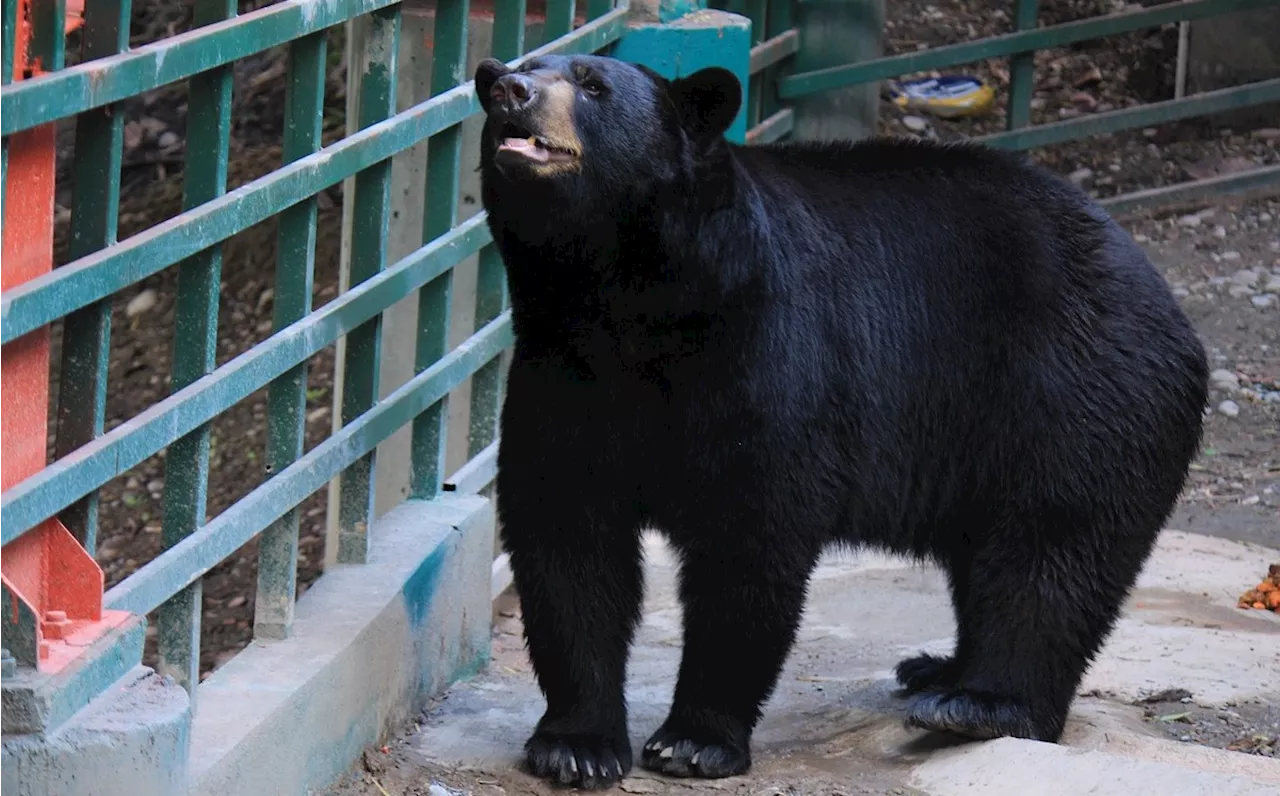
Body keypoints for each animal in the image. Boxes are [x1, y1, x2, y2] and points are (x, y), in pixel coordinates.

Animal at [473, 54, 1208, 793]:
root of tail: (1166, 301)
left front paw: (695, 739)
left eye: (592, 84)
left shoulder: (769, 347)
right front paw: (576, 744)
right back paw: (938, 669)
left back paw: (981, 703)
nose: (510, 88)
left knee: (1054, 543)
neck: (628, 299)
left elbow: (752, 534)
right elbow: (569, 536)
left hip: (1078, 387)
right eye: (526, 66)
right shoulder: (562, 369)